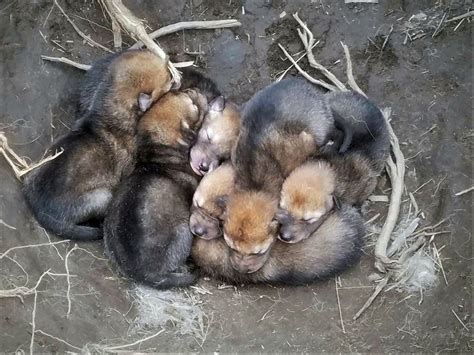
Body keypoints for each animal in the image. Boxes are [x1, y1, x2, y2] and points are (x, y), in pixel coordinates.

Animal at [103, 89, 207, 290]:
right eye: (194, 106)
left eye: (179, 91)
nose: (196, 91)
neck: (160, 154)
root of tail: (145, 273)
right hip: (183, 230)